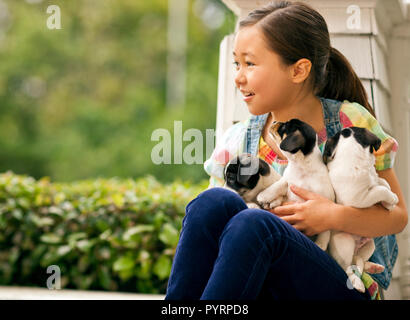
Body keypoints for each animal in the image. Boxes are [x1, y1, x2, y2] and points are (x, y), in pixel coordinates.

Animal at [256, 119, 336, 251]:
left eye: (283, 127)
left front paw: (321, 244)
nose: (274, 121)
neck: (302, 166)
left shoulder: (325, 198)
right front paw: (265, 197)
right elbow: (280, 184)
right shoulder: (288, 180)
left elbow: (325, 231)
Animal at [324, 127, 398, 292]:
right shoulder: (359, 199)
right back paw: (357, 282)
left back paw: (372, 267)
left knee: (359, 262)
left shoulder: (374, 178)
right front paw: (391, 199)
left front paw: (388, 202)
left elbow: (382, 182)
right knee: (346, 268)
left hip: (369, 245)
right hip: (345, 242)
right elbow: (380, 190)